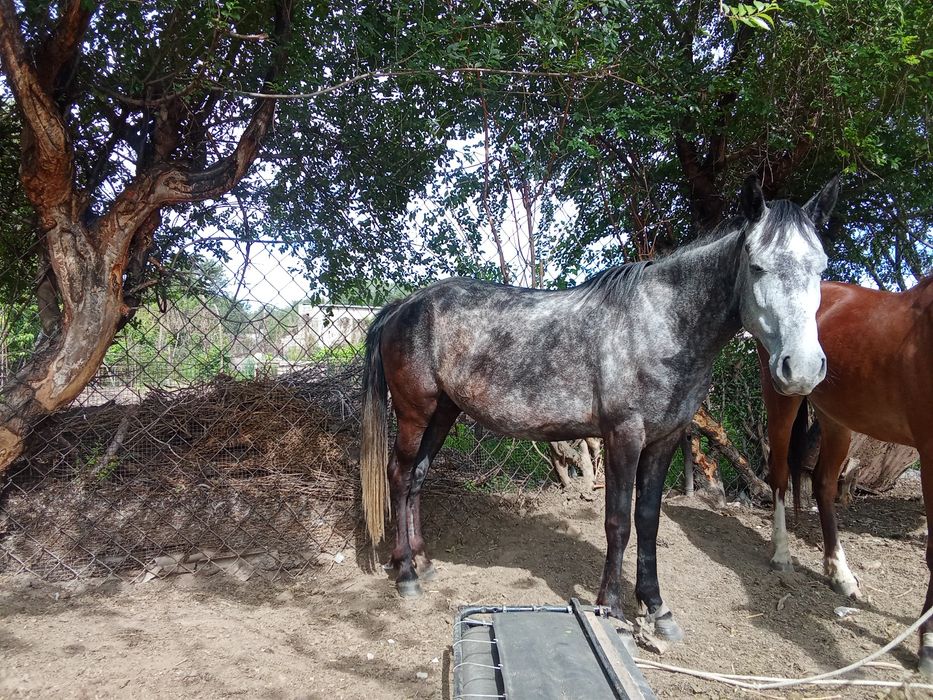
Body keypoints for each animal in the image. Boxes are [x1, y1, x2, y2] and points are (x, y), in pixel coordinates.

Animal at [360, 174, 837, 643]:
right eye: (757, 266)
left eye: (821, 268)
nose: (802, 368)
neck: (660, 324)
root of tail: (402, 306)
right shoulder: (624, 435)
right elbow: (618, 522)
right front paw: (611, 606)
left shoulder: (664, 440)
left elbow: (648, 520)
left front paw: (657, 608)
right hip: (415, 414)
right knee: (400, 476)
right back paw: (406, 575)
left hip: (443, 413)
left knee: (417, 478)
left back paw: (423, 562)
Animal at [758, 275, 933, 675]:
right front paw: (929, 645)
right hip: (783, 396)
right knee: (779, 474)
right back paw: (782, 555)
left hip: (836, 417)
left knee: (823, 485)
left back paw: (839, 573)